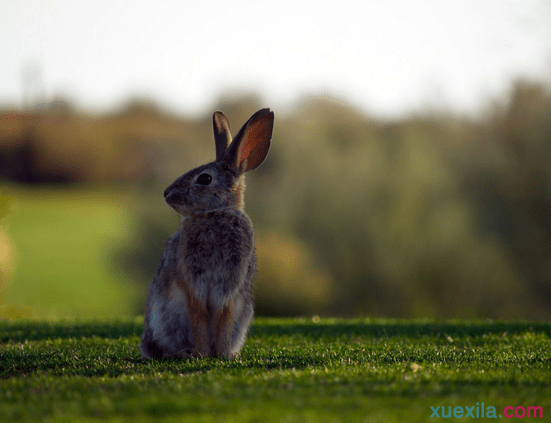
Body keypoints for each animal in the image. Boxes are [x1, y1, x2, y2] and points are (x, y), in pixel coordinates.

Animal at [140, 107, 274, 360]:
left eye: (204, 178)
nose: (166, 194)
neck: (215, 214)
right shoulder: (193, 282)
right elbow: (199, 316)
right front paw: (202, 353)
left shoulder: (229, 285)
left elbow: (223, 317)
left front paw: (222, 355)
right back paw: (184, 352)